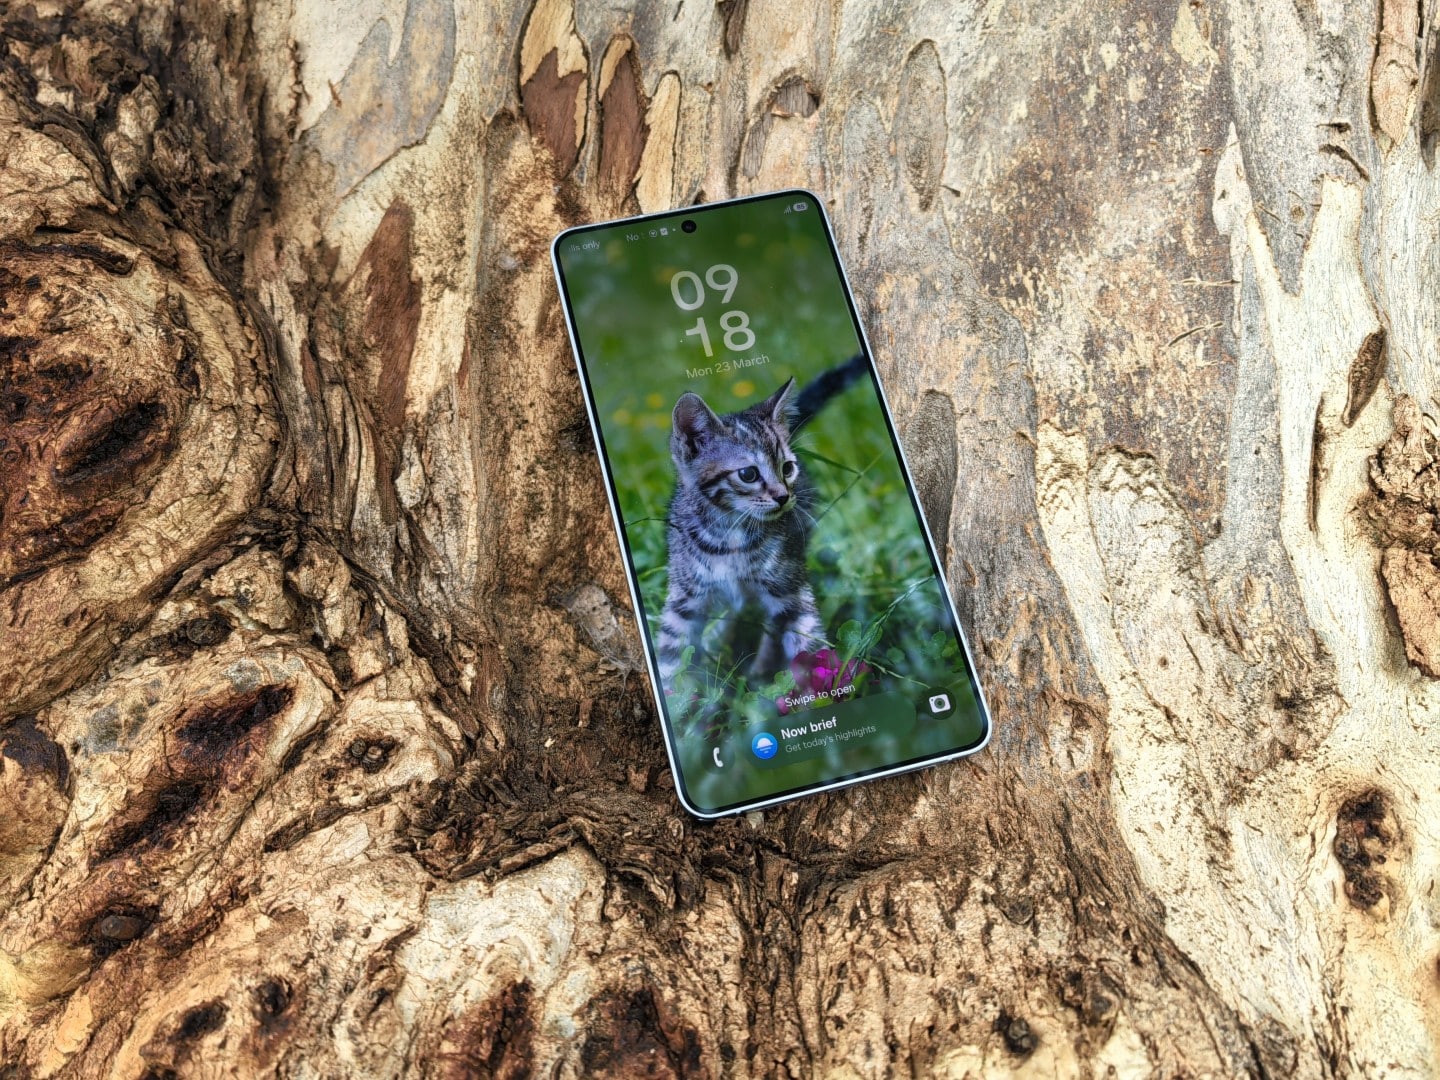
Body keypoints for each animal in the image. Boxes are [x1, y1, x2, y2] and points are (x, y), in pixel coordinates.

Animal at [655, 354, 867, 689]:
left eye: (788, 468)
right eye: (748, 474)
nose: (783, 496)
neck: (731, 537)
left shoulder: (790, 586)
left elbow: (809, 642)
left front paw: (822, 691)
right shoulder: (685, 596)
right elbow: (670, 653)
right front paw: (672, 694)